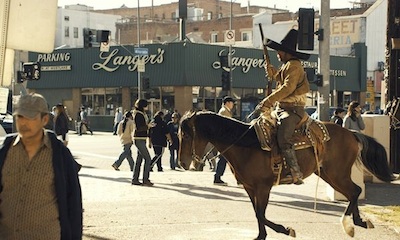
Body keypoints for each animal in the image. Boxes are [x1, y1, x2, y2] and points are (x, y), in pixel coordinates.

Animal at [179, 111, 396, 240]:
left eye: (187, 135)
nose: (182, 163)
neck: (244, 144)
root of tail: (351, 133)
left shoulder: (263, 187)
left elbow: (261, 213)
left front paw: (285, 229)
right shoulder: (250, 188)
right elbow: (257, 213)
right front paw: (261, 236)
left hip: (337, 173)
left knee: (355, 191)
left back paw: (349, 224)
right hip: (328, 173)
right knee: (353, 192)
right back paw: (358, 222)